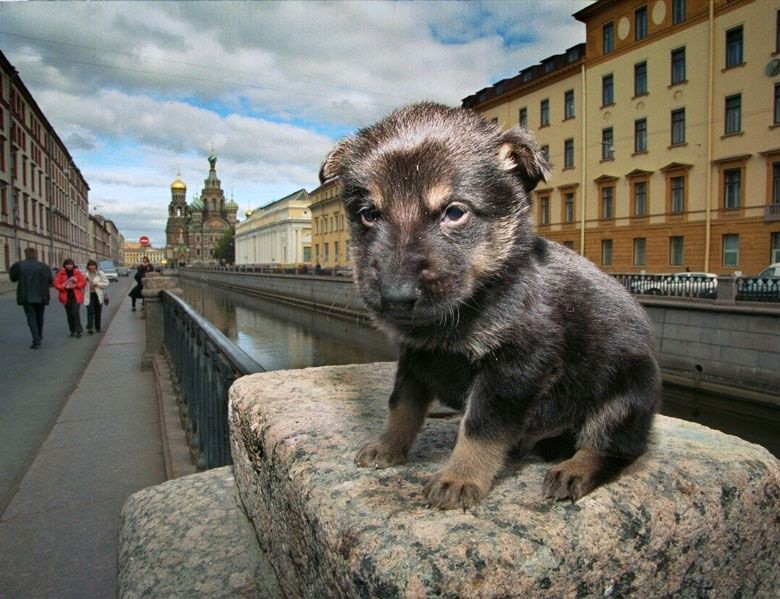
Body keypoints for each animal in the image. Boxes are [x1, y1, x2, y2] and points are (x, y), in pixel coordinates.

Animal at [320, 103, 660, 510]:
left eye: (455, 212)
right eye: (369, 214)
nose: (396, 296)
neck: (477, 299)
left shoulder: (512, 369)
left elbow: (480, 428)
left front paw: (460, 476)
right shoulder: (415, 357)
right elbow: (401, 405)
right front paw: (389, 446)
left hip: (627, 397)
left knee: (613, 448)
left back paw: (574, 469)